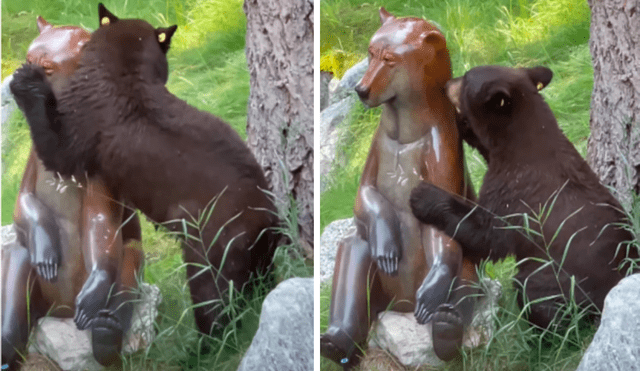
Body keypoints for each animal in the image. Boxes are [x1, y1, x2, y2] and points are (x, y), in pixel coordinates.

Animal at [10, 3, 278, 338]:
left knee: (215, 301)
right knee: (261, 280)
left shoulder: (81, 134)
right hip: (258, 256)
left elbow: (57, 152)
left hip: (214, 250)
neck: (125, 75)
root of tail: (268, 218)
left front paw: (26, 82)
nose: (29, 67)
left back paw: (204, 342)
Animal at [410, 65, 636, 330]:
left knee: (534, 293)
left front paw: (422, 195)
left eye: (466, 79)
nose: (446, 84)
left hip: (555, 281)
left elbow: (488, 234)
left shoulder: (515, 191)